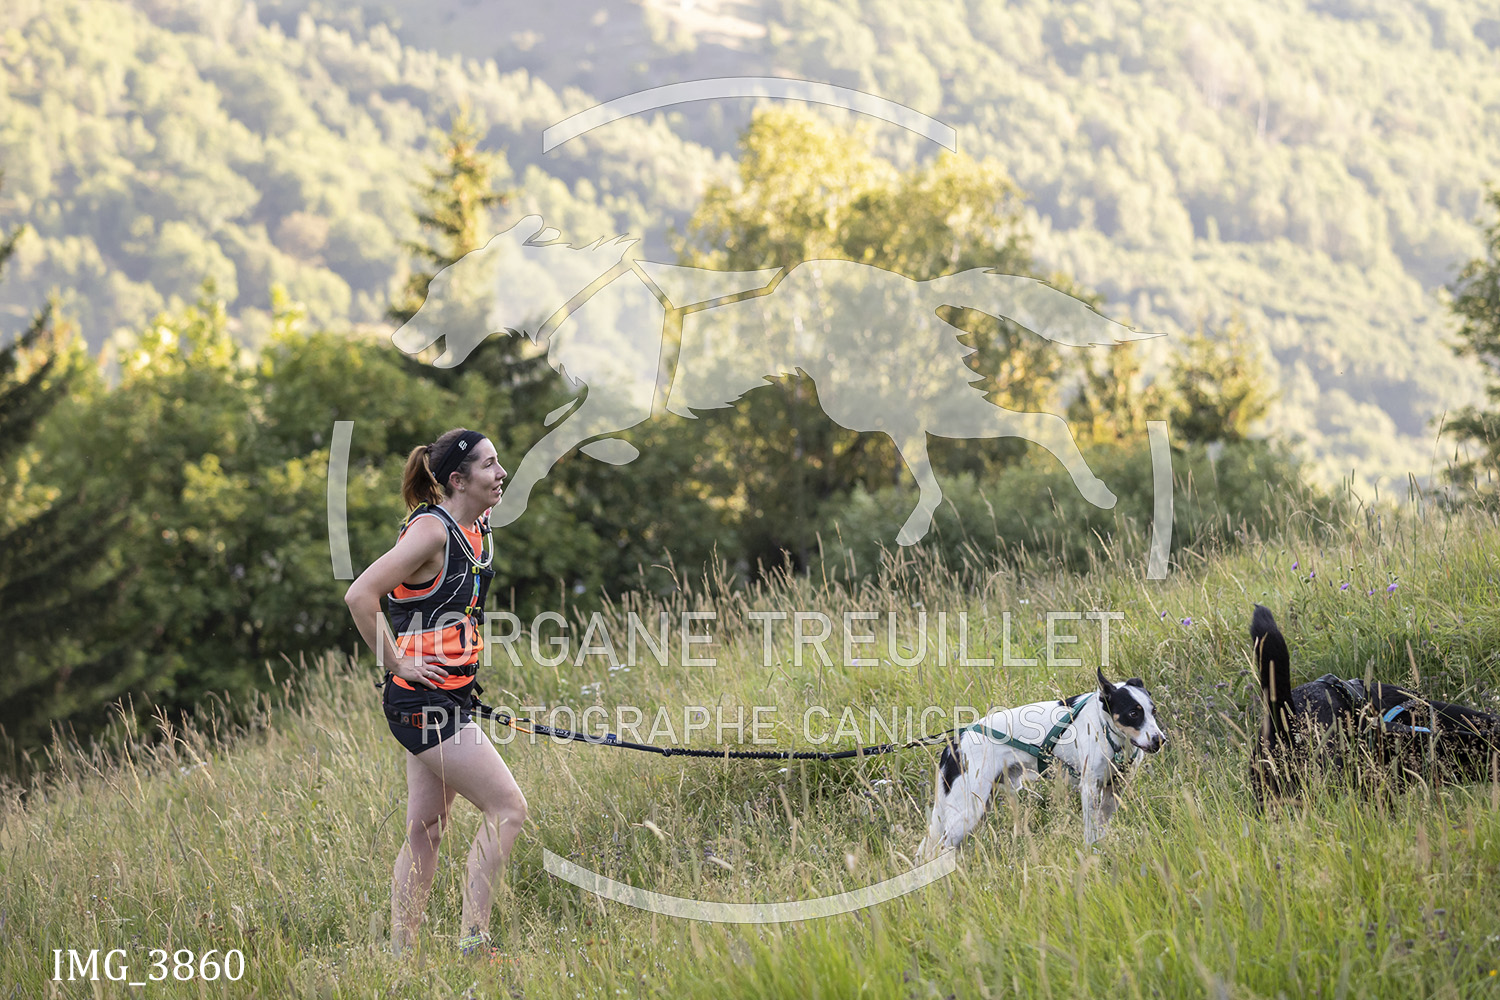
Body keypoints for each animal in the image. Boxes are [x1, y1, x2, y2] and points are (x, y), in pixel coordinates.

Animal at [918, 669, 1166, 856]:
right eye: (1133, 713)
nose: (1160, 740)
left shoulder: (1114, 789)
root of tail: (955, 742)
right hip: (967, 812)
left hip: (979, 805)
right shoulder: (1089, 788)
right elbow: (1090, 830)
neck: (1108, 731)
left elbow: (1102, 827)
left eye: (1153, 710)